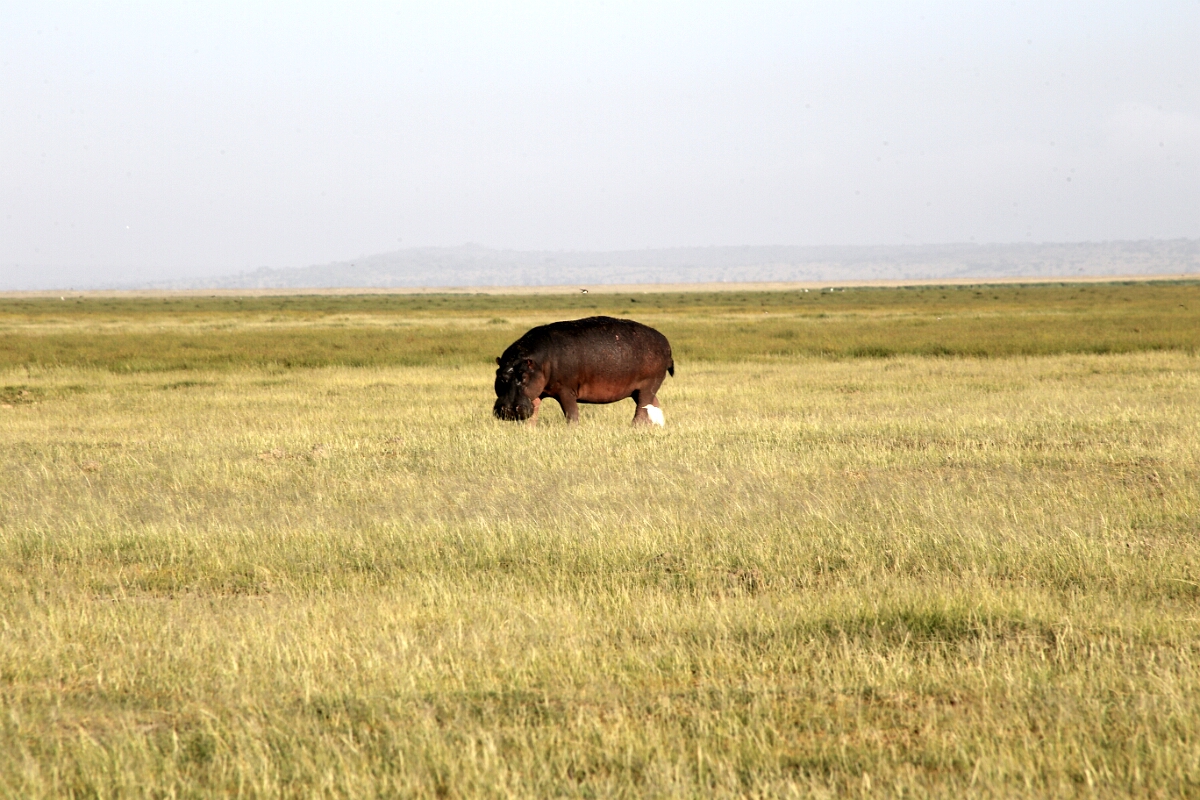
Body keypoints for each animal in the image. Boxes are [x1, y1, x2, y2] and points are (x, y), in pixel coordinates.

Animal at [493, 316, 674, 426]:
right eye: (500, 377)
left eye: (523, 377)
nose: (508, 410)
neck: (536, 362)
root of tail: (665, 341)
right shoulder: (536, 392)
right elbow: (534, 411)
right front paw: (529, 430)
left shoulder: (566, 390)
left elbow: (571, 413)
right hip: (639, 389)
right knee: (653, 405)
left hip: (648, 385)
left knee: (641, 409)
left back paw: (635, 427)